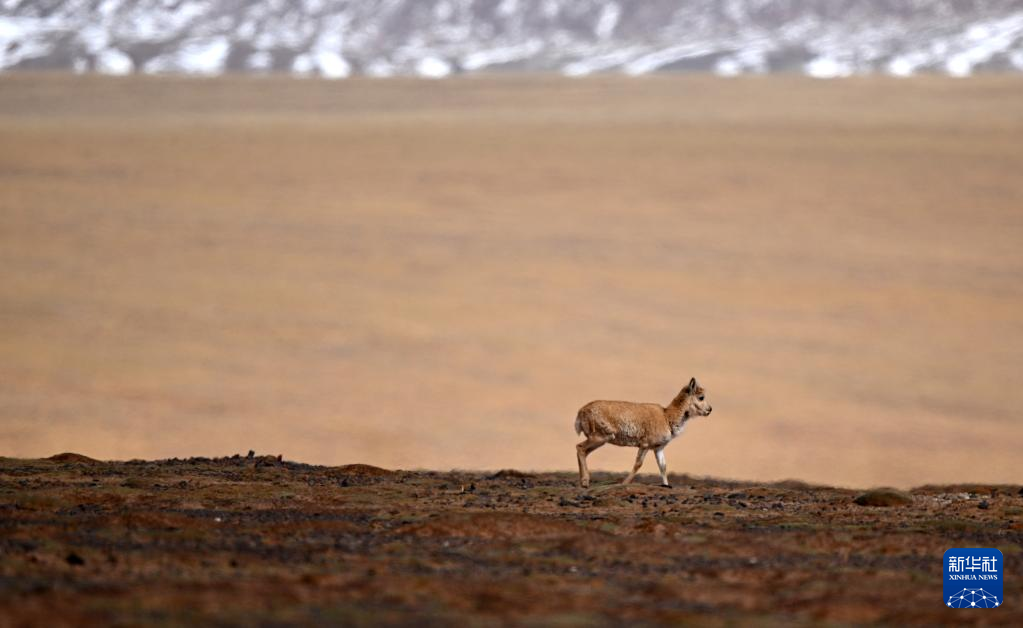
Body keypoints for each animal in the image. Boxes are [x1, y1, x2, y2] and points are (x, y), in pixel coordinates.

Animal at [574, 378, 712, 488]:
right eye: (701, 397)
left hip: (599, 440)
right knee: (580, 447)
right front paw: (624, 483)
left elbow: (663, 467)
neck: (667, 416)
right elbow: (638, 464)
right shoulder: (645, 445)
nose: (710, 409)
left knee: (583, 451)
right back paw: (585, 482)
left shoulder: (658, 448)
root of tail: (581, 412)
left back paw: (583, 481)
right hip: (600, 437)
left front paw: (666, 485)